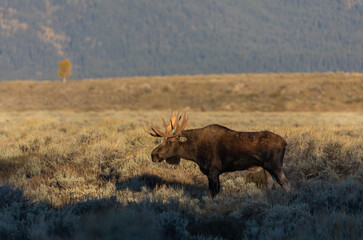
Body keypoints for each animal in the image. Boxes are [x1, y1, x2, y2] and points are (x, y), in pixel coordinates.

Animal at [145, 110, 290, 197]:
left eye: (169, 142)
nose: (153, 155)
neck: (195, 152)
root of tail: (285, 143)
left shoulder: (213, 171)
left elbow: (214, 194)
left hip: (275, 166)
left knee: (286, 184)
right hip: (267, 169)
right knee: (271, 186)